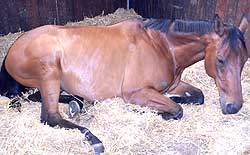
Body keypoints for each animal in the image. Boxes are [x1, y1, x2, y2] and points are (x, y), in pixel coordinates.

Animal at [0, 14, 248, 154]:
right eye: (221, 60)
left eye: (244, 59)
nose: (234, 107)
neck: (162, 46)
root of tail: (12, 49)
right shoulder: (136, 92)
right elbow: (177, 110)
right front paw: (152, 111)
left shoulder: (172, 85)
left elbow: (197, 96)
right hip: (50, 73)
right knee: (50, 117)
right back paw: (94, 140)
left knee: (36, 97)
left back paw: (78, 103)